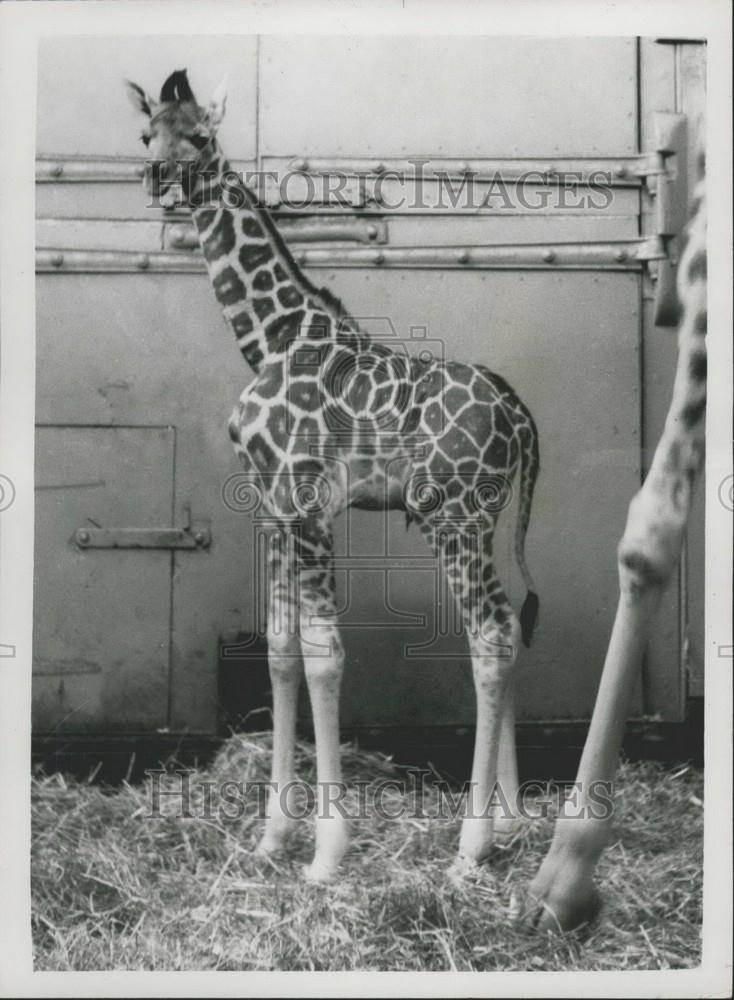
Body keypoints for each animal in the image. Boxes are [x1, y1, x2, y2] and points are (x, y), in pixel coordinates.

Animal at [126, 72, 540, 884]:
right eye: (147, 133)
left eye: (201, 137)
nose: (159, 178)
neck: (272, 338)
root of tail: (518, 414)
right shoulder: (271, 505)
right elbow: (281, 652)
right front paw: (271, 838)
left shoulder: (310, 500)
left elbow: (324, 656)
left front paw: (326, 853)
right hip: (478, 519)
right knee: (508, 626)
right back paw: (508, 824)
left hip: (455, 516)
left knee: (489, 637)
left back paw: (470, 846)